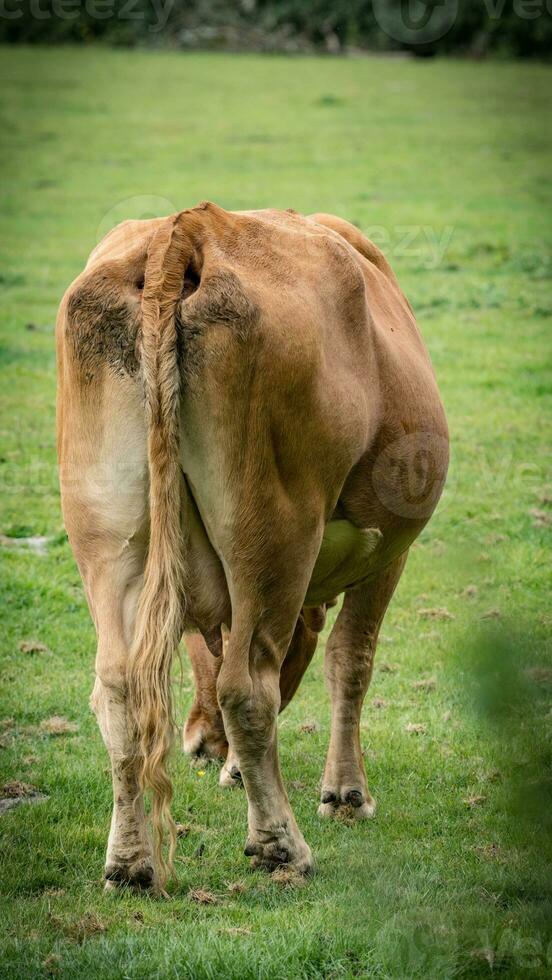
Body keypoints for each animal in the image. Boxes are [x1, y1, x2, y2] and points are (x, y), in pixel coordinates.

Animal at [56, 203, 448, 892]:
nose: (198, 744)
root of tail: (188, 230)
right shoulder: (387, 554)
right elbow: (352, 659)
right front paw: (346, 793)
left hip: (107, 540)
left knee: (119, 689)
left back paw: (130, 863)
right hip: (274, 540)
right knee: (246, 688)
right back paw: (279, 845)